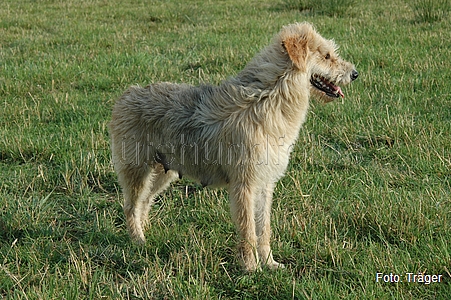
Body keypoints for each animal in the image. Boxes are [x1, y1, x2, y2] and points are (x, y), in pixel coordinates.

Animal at [110, 22, 360, 272]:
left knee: (144, 201)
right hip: (137, 170)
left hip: (163, 172)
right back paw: (138, 240)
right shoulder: (244, 184)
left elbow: (263, 228)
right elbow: (248, 230)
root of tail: (126, 95)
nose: (355, 74)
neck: (269, 97)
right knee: (130, 206)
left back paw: (146, 232)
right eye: (327, 56)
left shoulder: (264, 183)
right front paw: (251, 268)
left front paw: (269, 263)